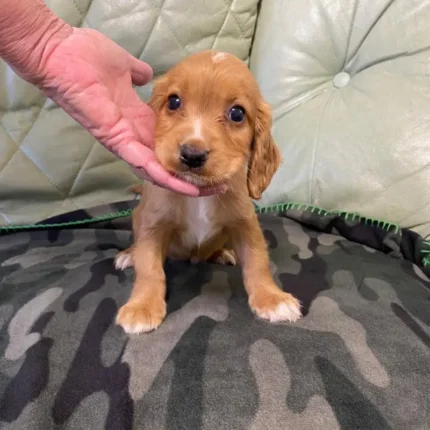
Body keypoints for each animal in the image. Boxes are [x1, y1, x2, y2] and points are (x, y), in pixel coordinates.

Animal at [116, 49, 300, 332]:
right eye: (174, 102)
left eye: (237, 114)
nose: (192, 155)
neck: (199, 194)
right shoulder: (153, 225)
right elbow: (149, 268)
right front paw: (142, 306)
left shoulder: (245, 223)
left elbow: (258, 261)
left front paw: (272, 298)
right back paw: (129, 255)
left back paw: (221, 253)